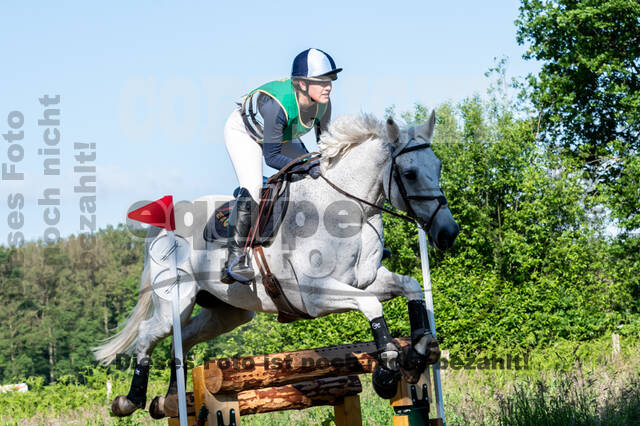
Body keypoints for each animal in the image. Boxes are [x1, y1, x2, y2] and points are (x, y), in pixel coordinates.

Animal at [93, 111, 459, 417]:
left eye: (439, 167)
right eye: (410, 173)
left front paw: (419, 349)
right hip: (176, 301)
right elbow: (371, 306)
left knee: (182, 339)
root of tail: (165, 224)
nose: (448, 232)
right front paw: (386, 370)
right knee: (148, 334)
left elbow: (411, 286)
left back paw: (170, 399)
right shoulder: (315, 296)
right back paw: (130, 400)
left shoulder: (366, 280)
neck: (347, 213)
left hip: (228, 313)